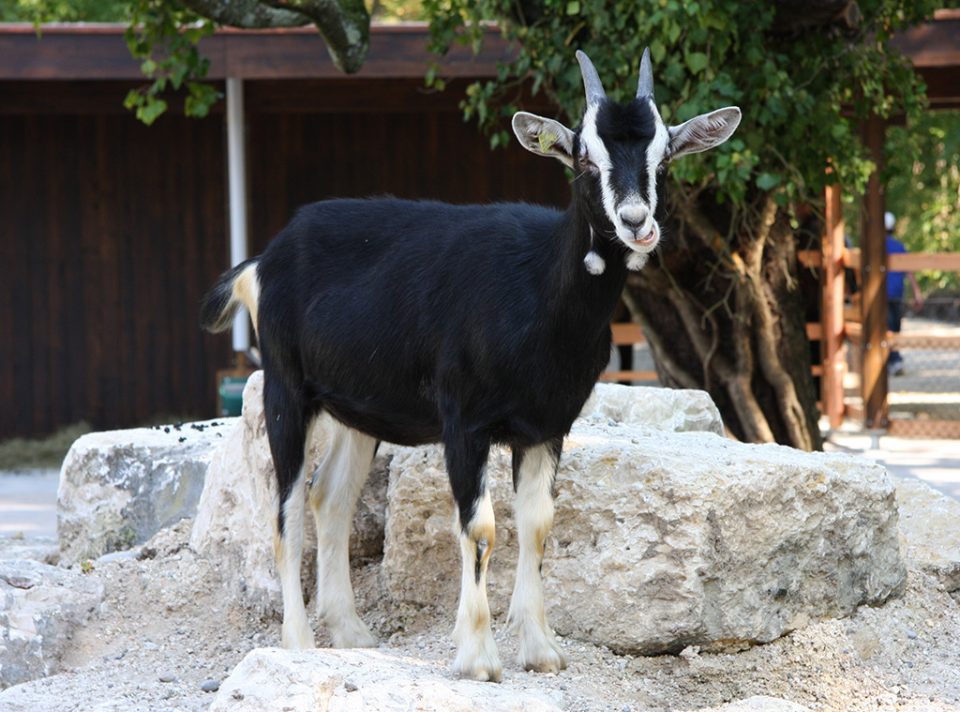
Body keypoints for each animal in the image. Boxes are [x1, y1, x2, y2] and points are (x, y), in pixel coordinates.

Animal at [201, 47, 744, 680]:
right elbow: (481, 527)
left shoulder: (547, 426)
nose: (636, 221)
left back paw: (352, 632)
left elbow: (537, 524)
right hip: (287, 389)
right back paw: (299, 642)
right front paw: (478, 657)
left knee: (329, 497)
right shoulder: (465, 422)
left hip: (356, 410)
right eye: (584, 156)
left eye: (665, 155)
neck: (540, 290)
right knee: (285, 509)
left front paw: (541, 649)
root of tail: (263, 261)